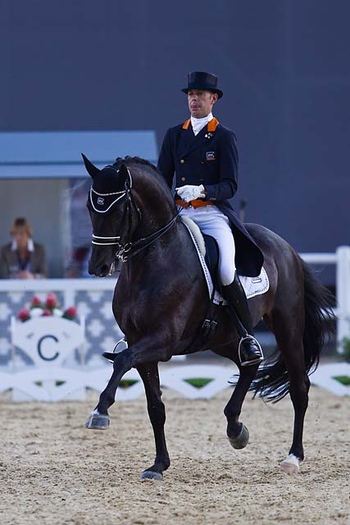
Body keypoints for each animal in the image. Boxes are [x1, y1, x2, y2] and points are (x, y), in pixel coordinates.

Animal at [80, 152, 334, 478]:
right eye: (91, 207)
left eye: (119, 208)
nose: (98, 267)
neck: (154, 260)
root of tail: (285, 247)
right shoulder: (141, 344)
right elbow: (155, 408)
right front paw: (159, 465)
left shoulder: (162, 341)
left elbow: (122, 361)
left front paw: (99, 412)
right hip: (223, 337)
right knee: (250, 364)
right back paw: (236, 428)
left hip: (287, 325)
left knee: (299, 387)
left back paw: (293, 457)